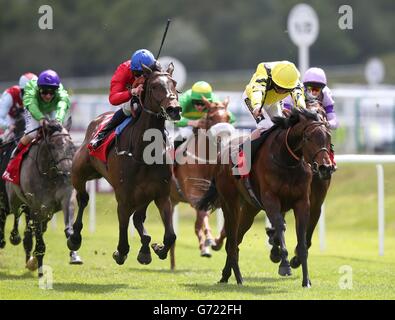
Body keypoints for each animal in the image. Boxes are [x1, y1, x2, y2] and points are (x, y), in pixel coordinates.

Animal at [5, 120, 78, 278]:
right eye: (52, 146)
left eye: (71, 145)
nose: (68, 172)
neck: (49, 174)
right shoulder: (38, 209)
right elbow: (40, 244)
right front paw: (38, 269)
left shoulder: (66, 196)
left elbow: (68, 222)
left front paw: (74, 248)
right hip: (15, 200)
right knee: (17, 215)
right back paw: (15, 237)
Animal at [68, 62, 183, 264]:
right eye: (154, 86)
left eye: (174, 83)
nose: (174, 109)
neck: (144, 152)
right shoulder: (123, 196)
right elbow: (123, 232)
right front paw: (121, 252)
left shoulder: (161, 194)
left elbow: (170, 235)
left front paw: (157, 248)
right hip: (79, 172)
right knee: (83, 198)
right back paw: (75, 237)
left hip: (144, 194)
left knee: (138, 217)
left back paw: (145, 249)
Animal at [171, 96, 235, 262]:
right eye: (211, 117)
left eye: (228, 117)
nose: (224, 140)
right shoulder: (195, 196)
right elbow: (203, 217)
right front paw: (210, 239)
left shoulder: (217, 199)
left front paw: (216, 242)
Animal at [200, 107, 336, 288]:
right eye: (308, 138)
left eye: (328, 136)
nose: (325, 168)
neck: (287, 161)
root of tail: (223, 153)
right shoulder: (271, 200)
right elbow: (280, 226)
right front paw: (285, 265)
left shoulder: (303, 203)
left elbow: (302, 241)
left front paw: (306, 280)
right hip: (230, 204)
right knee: (231, 241)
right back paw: (238, 278)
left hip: (250, 209)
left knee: (236, 239)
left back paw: (226, 275)